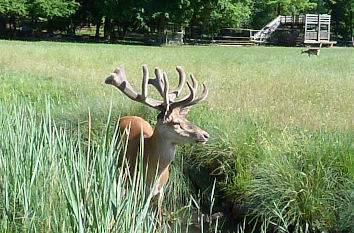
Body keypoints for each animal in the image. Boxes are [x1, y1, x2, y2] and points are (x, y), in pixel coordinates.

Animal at [105, 64, 210, 220]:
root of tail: (127, 116)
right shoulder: (134, 188)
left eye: (185, 118)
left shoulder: (160, 193)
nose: (205, 135)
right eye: (175, 122)